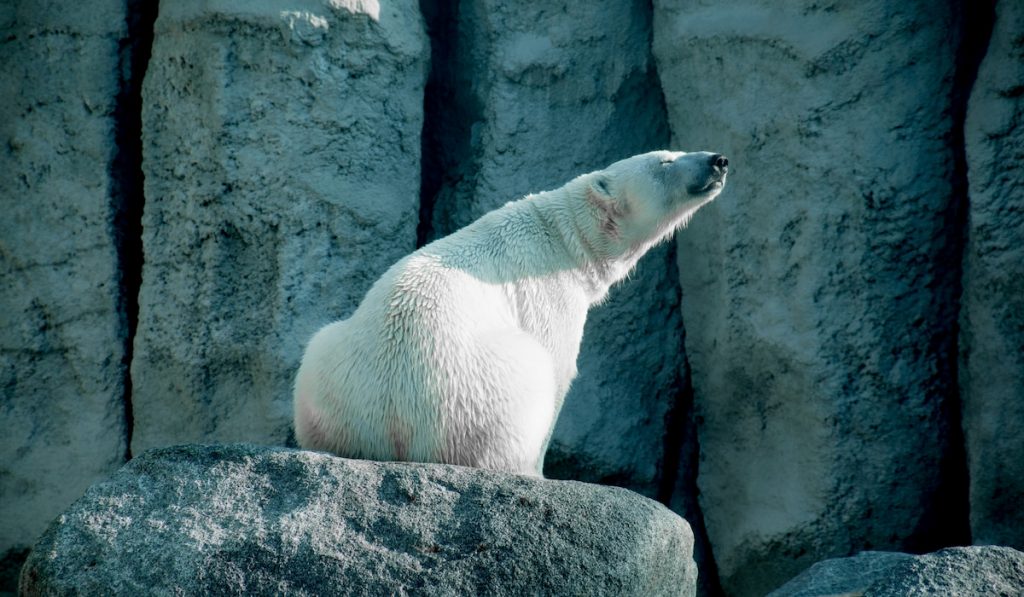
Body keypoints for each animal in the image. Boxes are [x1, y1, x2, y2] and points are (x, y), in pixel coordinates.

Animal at [296, 149, 729, 477]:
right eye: (665, 160)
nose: (718, 160)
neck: (563, 237)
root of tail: (392, 423)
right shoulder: (550, 292)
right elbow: (558, 368)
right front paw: (540, 471)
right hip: (476, 393)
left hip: (330, 366)